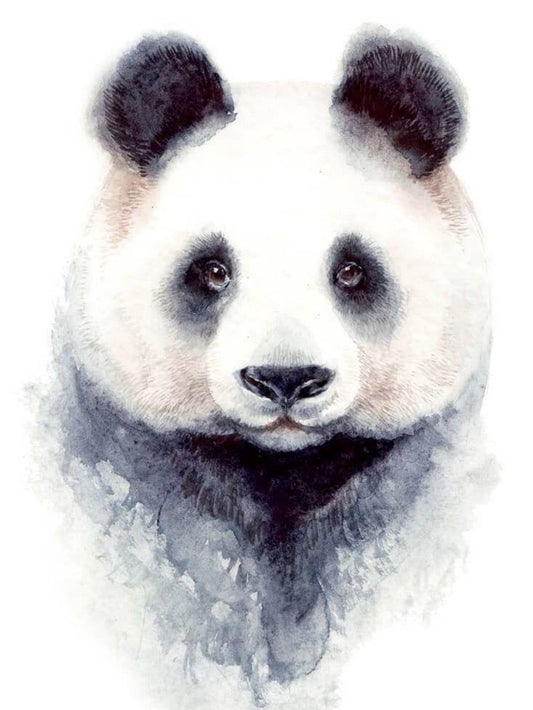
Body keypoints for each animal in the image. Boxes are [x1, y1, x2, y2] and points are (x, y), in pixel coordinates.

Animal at [52, 27, 493, 704]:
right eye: (211, 269)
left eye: (351, 270)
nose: (286, 379)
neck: (281, 473)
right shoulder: (136, 471)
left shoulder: (413, 478)